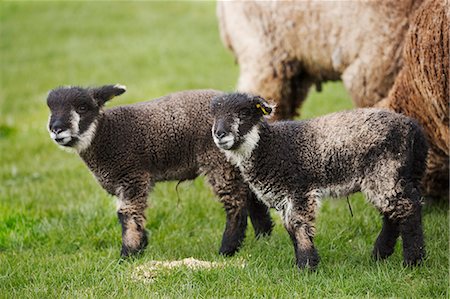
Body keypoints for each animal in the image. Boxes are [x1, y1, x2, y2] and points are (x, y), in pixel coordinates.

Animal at [45, 85, 272, 258]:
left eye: (82, 107)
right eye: (50, 109)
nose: (56, 129)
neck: (107, 134)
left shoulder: (132, 176)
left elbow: (127, 214)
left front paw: (128, 255)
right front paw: (140, 245)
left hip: (218, 160)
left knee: (236, 203)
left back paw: (227, 250)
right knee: (251, 196)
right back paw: (263, 237)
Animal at [209, 94, 428, 270]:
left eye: (244, 112)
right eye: (214, 115)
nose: (219, 134)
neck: (270, 147)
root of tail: (415, 130)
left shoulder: (299, 189)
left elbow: (299, 225)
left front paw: (306, 266)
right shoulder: (285, 198)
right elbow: (290, 228)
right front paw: (301, 262)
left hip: (386, 171)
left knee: (408, 209)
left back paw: (412, 261)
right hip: (389, 176)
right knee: (392, 214)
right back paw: (380, 254)